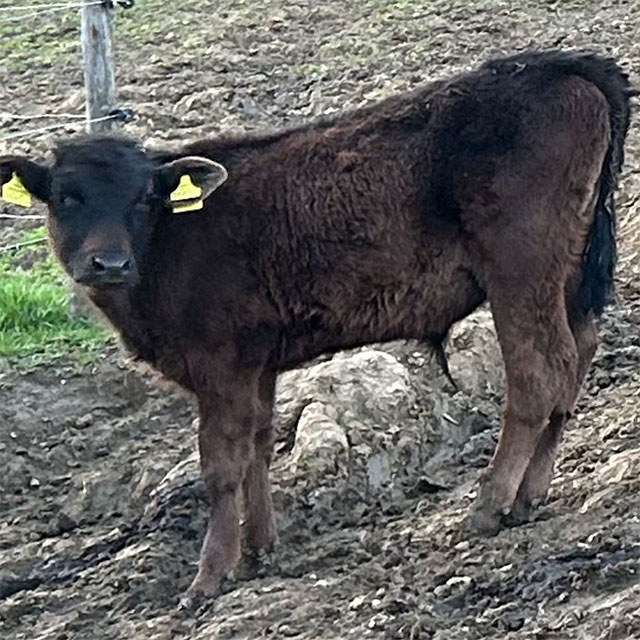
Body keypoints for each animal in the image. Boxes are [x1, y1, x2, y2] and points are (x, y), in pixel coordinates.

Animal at [0, 51, 632, 600]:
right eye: (65, 196)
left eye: (143, 198)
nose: (108, 263)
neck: (171, 239)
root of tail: (556, 66)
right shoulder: (256, 363)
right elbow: (257, 446)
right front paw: (258, 550)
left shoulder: (219, 365)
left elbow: (221, 465)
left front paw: (207, 577)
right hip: (569, 275)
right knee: (575, 360)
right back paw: (529, 496)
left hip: (520, 274)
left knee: (537, 376)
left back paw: (488, 506)